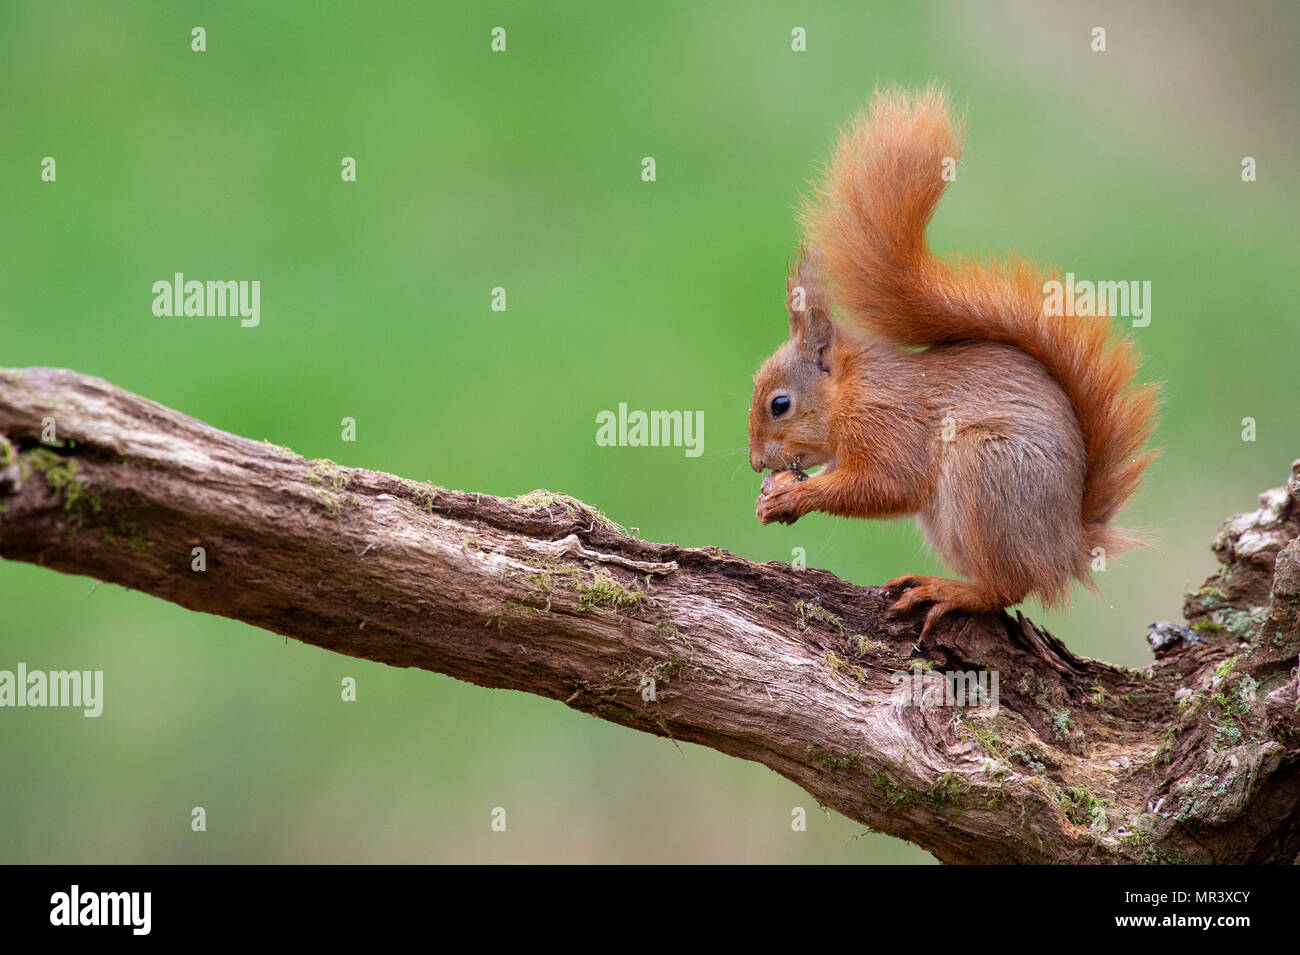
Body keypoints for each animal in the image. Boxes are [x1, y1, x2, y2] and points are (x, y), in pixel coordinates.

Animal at [754, 89, 1159, 634]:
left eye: (780, 404)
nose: (757, 463)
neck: (851, 391)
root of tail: (1069, 547)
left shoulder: (888, 422)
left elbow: (888, 484)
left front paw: (794, 496)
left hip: (985, 470)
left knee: (1008, 587)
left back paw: (950, 591)